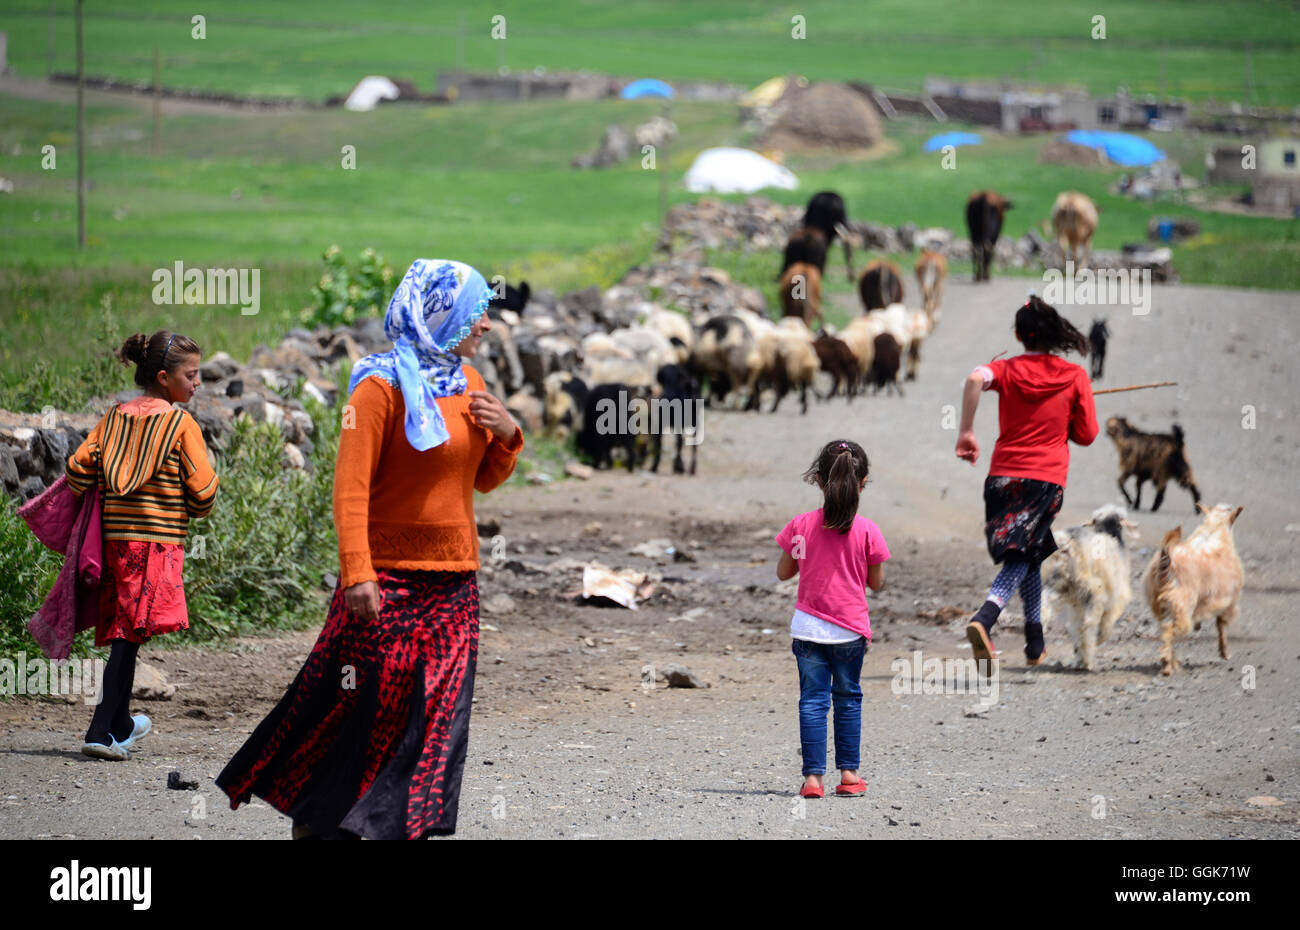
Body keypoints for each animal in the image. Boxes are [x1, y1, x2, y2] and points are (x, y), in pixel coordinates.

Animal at [1040, 504, 1133, 671]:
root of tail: (1066, 545)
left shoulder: (1076, 605)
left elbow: (1075, 627)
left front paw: (1079, 658)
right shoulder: (1115, 599)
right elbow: (1105, 621)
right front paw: (1098, 639)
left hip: (1052, 582)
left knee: (1044, 606)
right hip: (1090, 586)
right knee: (1090, 620)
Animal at [1144, 502, 1242, 676]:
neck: (1213, 531)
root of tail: (1167, 563)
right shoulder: (1228, 602)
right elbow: (1221, 627)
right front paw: (1224, 651)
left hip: (1162, 607)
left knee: (1165, 631)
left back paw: (1172, 662)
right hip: (1182, 610)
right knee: (1169, 631)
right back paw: (1167, 665)